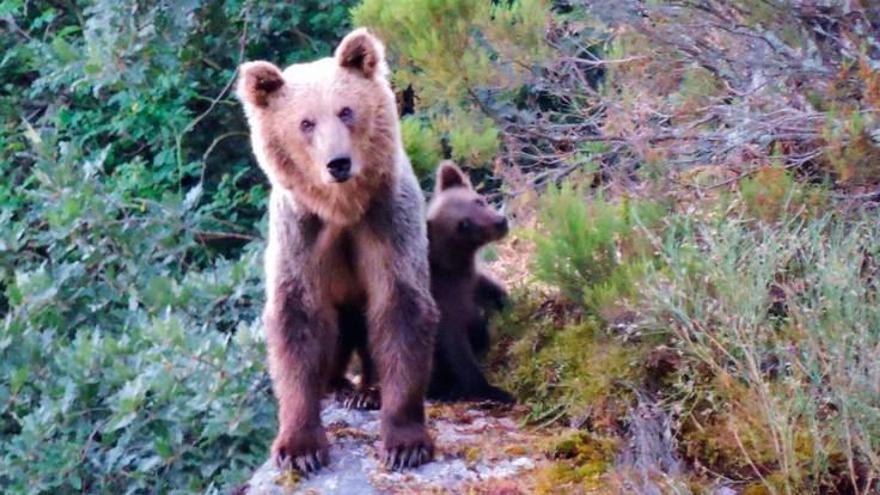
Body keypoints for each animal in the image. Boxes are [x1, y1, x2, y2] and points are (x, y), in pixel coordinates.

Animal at [235, 28, 438, 476]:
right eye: (305, 122)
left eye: (346, 111)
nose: (338, 163)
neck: (342, 209)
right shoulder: (301, 233)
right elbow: (296, 318)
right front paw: (300, 448)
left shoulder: (386, 221)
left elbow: (400, 305)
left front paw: (405, 443)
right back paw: (340, 385)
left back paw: (367, 390)